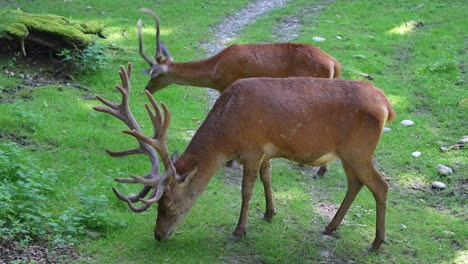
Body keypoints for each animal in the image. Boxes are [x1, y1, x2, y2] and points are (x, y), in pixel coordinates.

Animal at [94, 62, 394, 250]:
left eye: (168, 206)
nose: (158, 235)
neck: (227, 134)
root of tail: (386, 105)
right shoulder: (265, 151)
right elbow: (267, 177)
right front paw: (270, 213)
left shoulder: (253, 148)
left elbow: (247, 189)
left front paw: (239, 230)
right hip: (347, 153)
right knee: (356, 184)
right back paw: (331, 227)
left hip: (359, 150)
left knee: (380, 185)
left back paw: (376, 242)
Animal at [136, 7, 340, 177]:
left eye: (154, 73)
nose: (147, 88)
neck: (215, 70)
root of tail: (334, 63)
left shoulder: (227, 85)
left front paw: (230, 162)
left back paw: (320, 171)